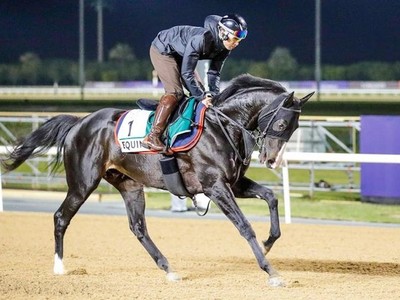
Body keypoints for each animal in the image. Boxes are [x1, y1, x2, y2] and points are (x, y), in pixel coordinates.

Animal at [0, 74, 312, 288]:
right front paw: (271, 271)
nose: (271, 160)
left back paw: (168, 268)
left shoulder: (232, 183)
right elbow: (244, 226)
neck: (220, 125)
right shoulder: (215, 186)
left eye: (295, 127)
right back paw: (59, 267)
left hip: (129, 185)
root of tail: (79, 122)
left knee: (138, 227)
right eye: (282, 123)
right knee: (61, 217)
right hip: (82, 183)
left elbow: (271, 196)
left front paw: (269, 241)